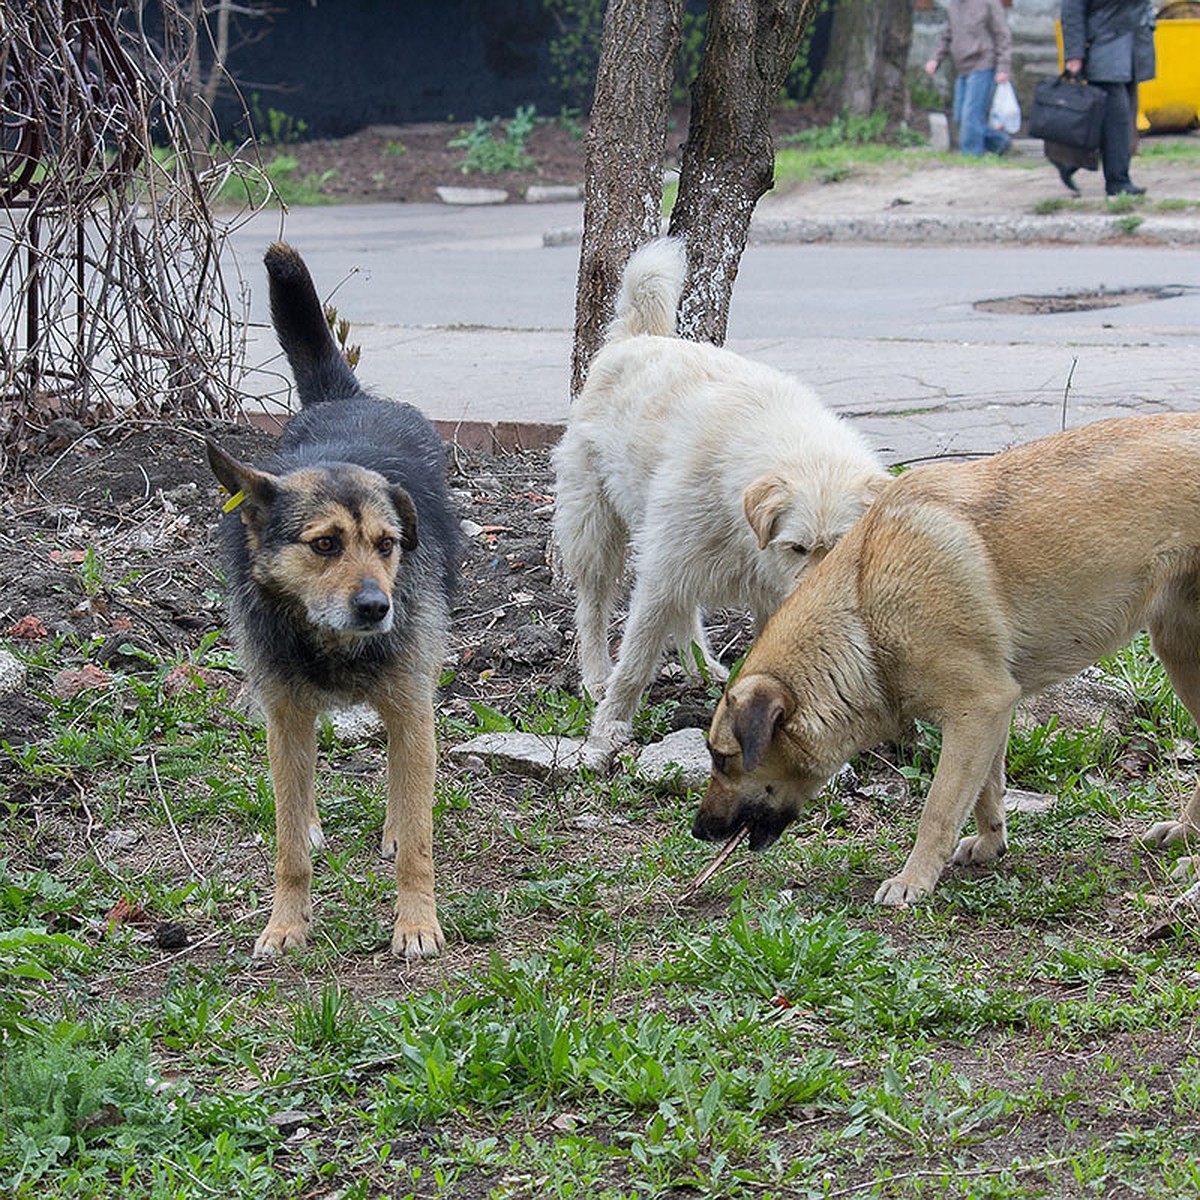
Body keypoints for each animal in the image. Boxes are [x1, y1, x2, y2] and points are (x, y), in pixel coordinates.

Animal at [206, 241, 458, 955]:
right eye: (324, 544)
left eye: (387, 544)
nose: (378, 608)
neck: (332, 643)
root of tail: (347, 397)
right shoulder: (285, 715)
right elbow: (288, 843)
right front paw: (286, 922)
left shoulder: (411, 707)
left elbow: (419, 838)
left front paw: (416, 922)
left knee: (406, 780)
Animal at [552, 236, 892, 758]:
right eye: (797, 547)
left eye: (840, 548)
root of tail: (635, 337)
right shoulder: (661, 574)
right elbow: (635, 663)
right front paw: (608, 727)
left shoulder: (767, 595)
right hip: (597, 530)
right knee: (593, 608)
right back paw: (594, 678)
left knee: (685, 608)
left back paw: (700, 666)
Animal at [696, 412, 1200, 902]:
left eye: (722, 758)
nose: (700, 830)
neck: (864, 608)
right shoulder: (990, 716)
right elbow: (984, 792)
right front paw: (991, 843)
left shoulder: (977, 710)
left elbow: (938, 809)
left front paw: (913, 879)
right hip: (1181, 658)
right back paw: (1184, 832)